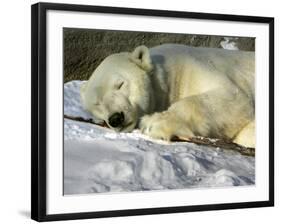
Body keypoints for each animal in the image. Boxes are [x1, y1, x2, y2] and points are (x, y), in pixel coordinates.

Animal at [80, 44, 255, 148]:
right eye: (97, 104)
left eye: (120, 84)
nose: (116, 118)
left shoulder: (194, 68)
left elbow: (234, 97)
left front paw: (154, 123)